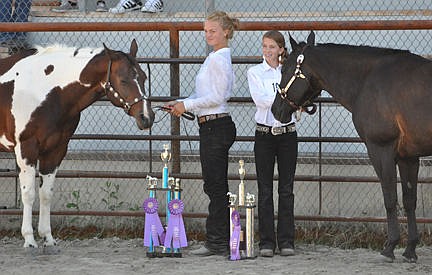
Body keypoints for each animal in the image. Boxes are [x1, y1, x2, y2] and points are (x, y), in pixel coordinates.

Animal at [0, 40, 155, 250]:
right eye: (123, 80)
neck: (45, 91)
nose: (146, 117)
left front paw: (47, 237)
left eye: (144, 77)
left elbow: (46, 193)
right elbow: (29, 194)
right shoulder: (26, 149)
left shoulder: (55, 150)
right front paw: (29, 239)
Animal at [270, 31, 432, 264]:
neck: (368, 79)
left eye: (284, 70)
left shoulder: (381, 149)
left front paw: (390, 247)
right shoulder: (407, 156)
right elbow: (409, 200)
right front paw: (410, 249)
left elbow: (390, 197)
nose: (276, 110)